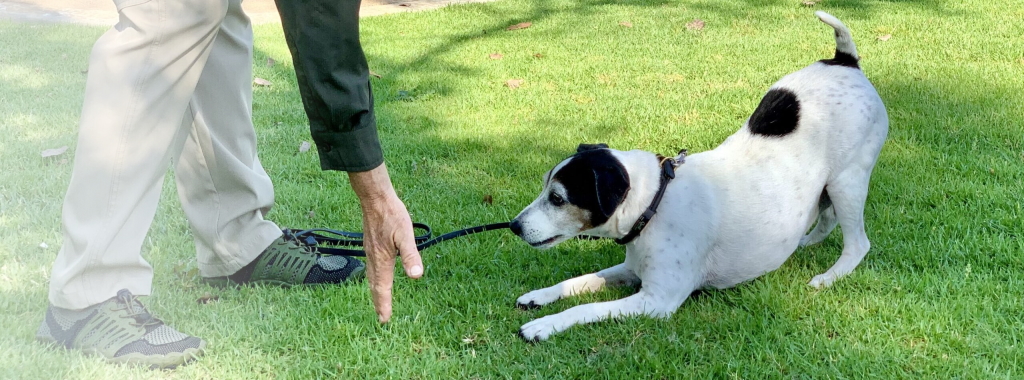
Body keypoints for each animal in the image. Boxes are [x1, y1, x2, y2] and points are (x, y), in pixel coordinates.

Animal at [509, 11, 888, 342]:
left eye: (557, 198)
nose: (513, 226)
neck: (654, 201)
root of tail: (845, 61)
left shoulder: (657, 300)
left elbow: (586, 308)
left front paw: (545, 325)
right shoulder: (632, 270)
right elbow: (582, 280)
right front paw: (541, 295)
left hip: (848, 182)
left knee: (857, 242)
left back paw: (829, 276)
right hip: (826, 185)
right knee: (826, 218)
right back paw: (806, 242)